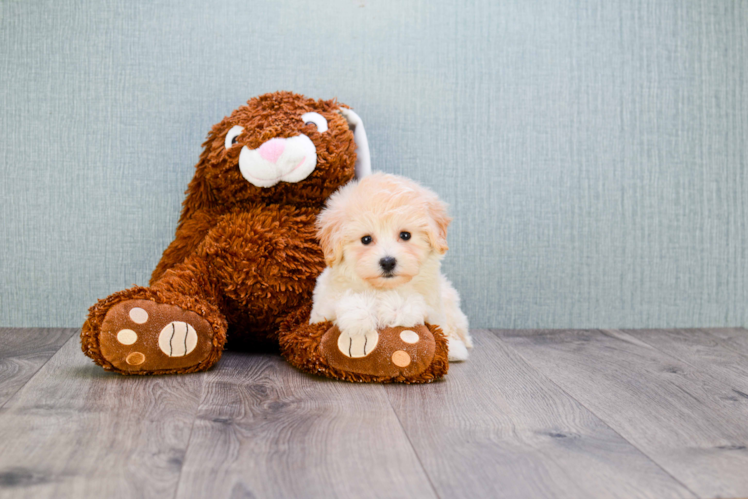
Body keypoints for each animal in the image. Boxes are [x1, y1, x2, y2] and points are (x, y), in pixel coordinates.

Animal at [310, 172, 474, 360]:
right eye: (366, 239)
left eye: (405, 235)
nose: (388, 261)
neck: (383, 288)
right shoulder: (323, 305)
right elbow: (346, 302)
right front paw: (360, 318)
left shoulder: (432, 304)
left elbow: (410, 305)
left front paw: (390, 309)